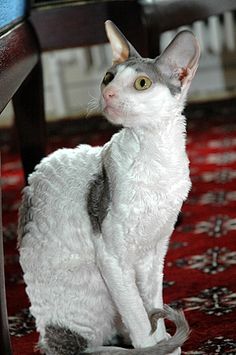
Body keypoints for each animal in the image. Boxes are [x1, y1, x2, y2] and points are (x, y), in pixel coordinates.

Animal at [18, 20, 199, 355]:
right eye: (108, 77)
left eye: (141, 83)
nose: (109, 94)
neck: (157, 160)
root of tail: (50, 337)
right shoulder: (112, 257)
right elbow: (138, 316)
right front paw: (154, 346)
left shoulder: (154, 252)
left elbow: (151, 305)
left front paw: (166, 344)